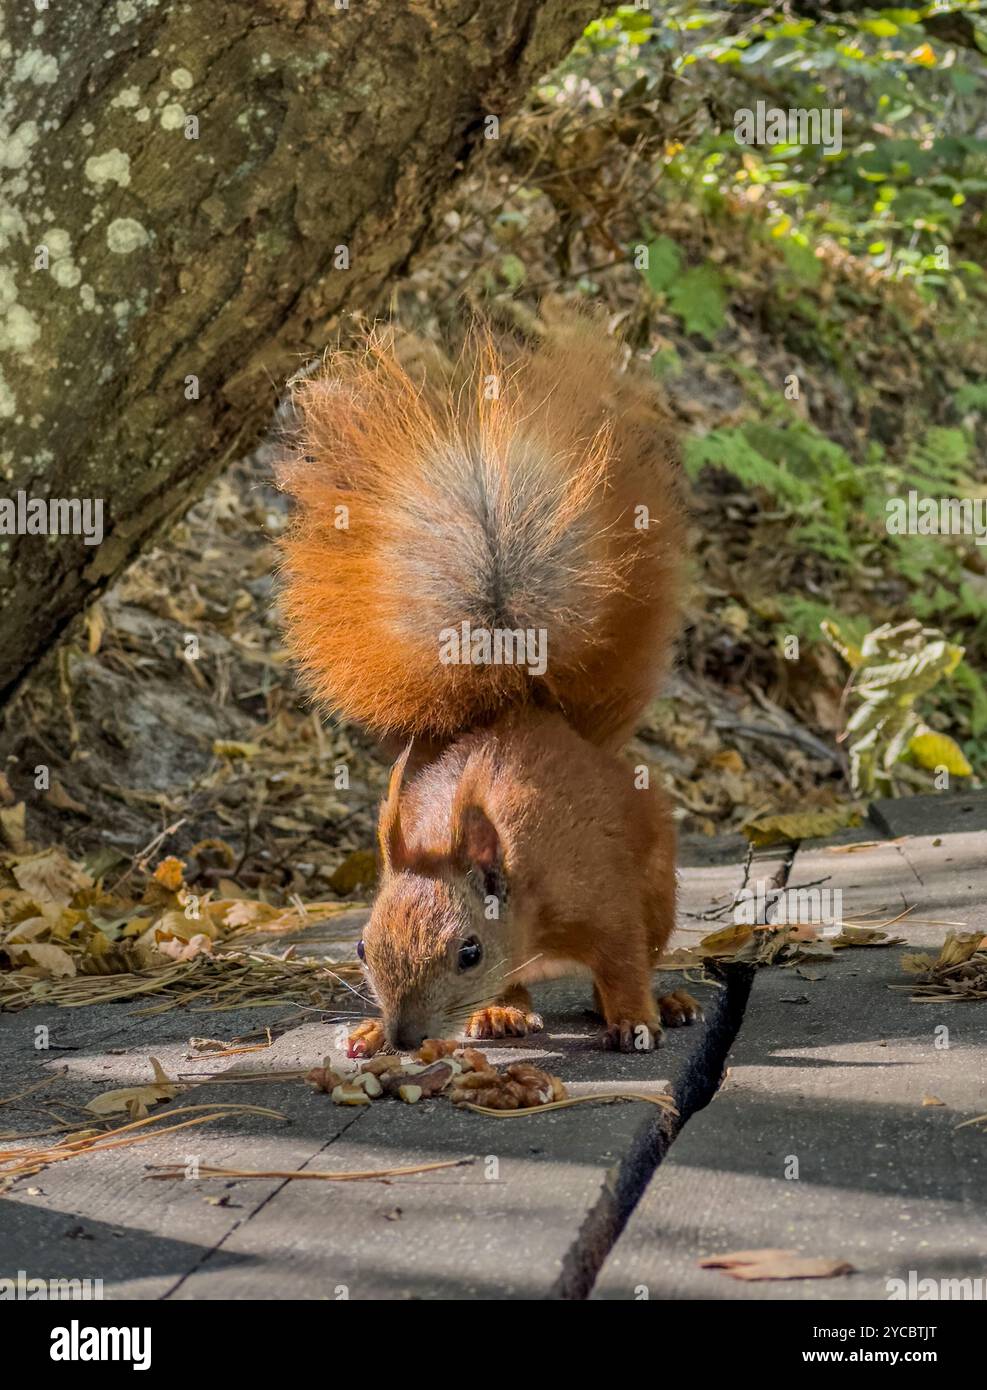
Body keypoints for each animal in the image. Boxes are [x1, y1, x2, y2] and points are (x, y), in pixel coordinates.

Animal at [276, 305, 699, 1054]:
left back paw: (664, 1002)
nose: (404, 1038)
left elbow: (623, 963)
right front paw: (368, 1031)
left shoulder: (605, 901)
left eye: (468, 951)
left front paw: (635, 1020)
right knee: (522, 987)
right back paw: (502, 1012)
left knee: (645, 952)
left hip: (656, 884)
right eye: (360, 947)